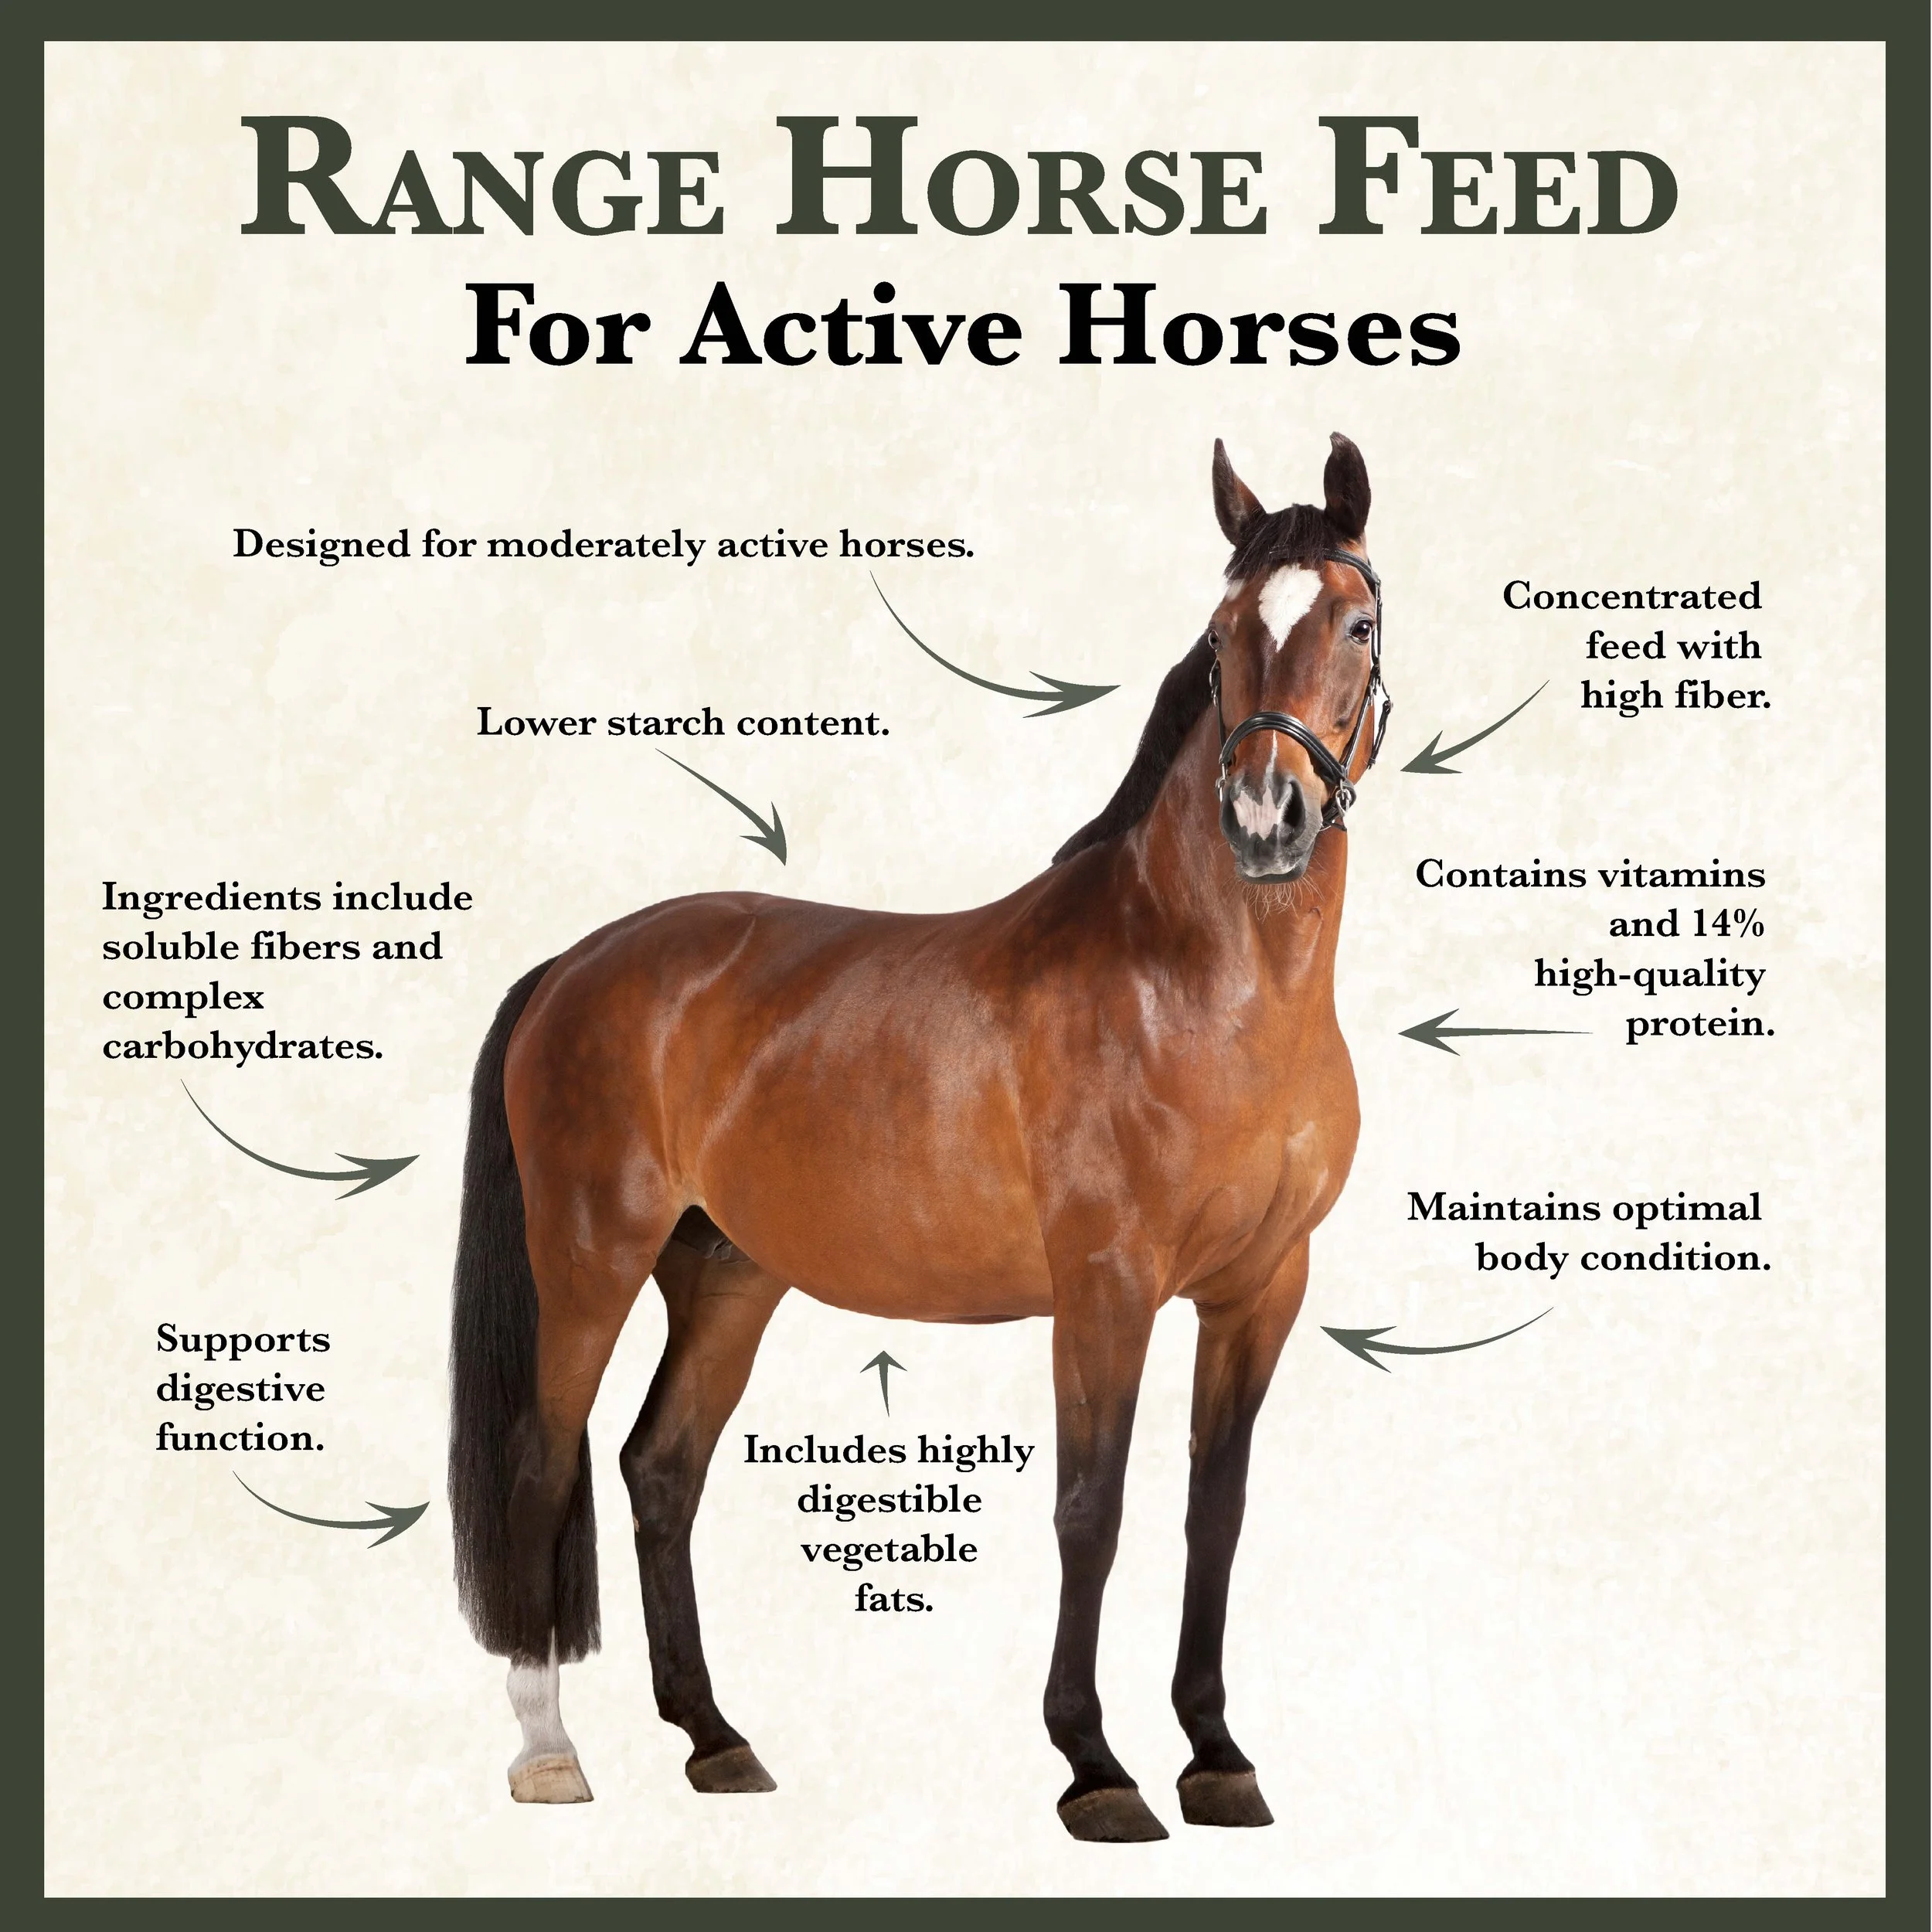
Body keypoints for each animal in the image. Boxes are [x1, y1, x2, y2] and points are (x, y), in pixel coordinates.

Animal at [448, 431, 1391, 1843]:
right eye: (1224, 637)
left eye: (1356, 621)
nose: (1266, 818)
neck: (1199, 990)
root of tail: (578, 962)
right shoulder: (1104, 1290)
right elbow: (1091, 1510)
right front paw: (1096, 1768)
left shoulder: (1260, 1291)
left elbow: (1210, 1514)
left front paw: (1217, 1756)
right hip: (588, 1264)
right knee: (541, 1467)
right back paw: (551, 1752)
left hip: (727, 1276)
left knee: (659, 1471)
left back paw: (716, 1738)